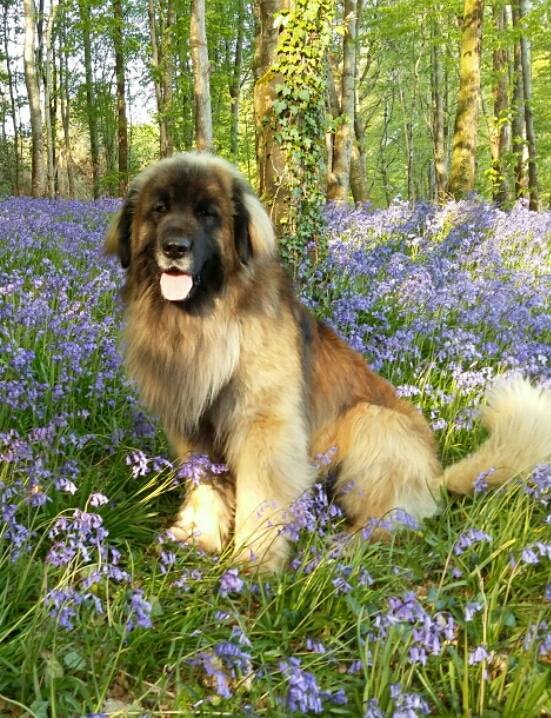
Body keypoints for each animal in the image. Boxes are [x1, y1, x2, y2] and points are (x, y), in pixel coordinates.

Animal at [105, 153, 551, 572]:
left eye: (206, 213)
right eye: (159, 209)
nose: (174, 248)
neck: (203, 317)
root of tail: (435, 475)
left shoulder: (264, 425)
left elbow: (262, 496)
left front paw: (254, 559)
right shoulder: (191, 427)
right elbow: (203, 484)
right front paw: (199, 536)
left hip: (371, 420)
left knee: (392, 518)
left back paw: (342, 547)